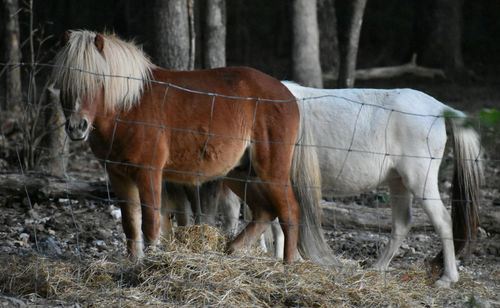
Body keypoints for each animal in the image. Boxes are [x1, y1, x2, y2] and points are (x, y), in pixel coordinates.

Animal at [51, 30, 332, 264]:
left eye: (98, 80)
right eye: (64, 81)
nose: (77, 127)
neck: (130, 106)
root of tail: (289, 94)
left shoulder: (148, 173)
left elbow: (150, 221)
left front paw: (149, 261)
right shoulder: (118, 175)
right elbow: (131, 223)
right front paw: (133, 262)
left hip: (271, 171)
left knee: (289, 211)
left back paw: (287, 265)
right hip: (240, 173)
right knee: (265, 211)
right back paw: (233, 249)